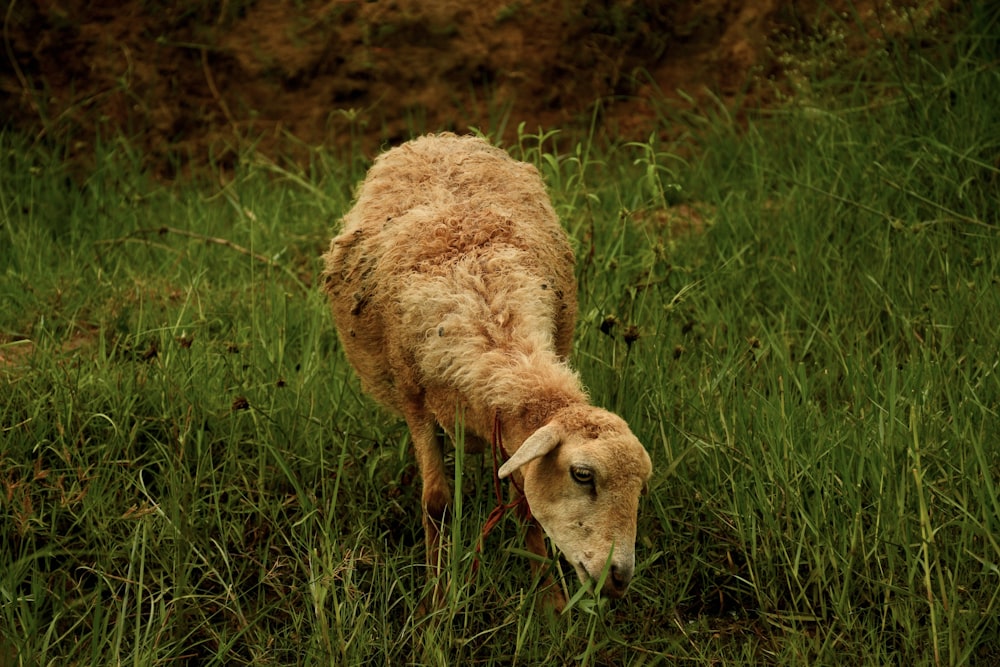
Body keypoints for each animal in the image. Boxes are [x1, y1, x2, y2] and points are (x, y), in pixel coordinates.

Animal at [318, 132, 648, 612]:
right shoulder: (415, 400)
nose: (619, 578)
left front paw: (549, 603)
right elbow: (436, 502)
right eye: (582, 475)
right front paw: (436, 602)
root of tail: (437, 139)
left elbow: (526, 506)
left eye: (641, 487)